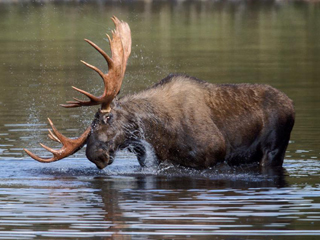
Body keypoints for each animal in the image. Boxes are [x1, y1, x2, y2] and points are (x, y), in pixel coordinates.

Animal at [24, 15, 296, 170]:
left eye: (107, 118)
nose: (94, 156)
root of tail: (292, 105)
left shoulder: (212, 157)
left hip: (274, 149)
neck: (161, 133)